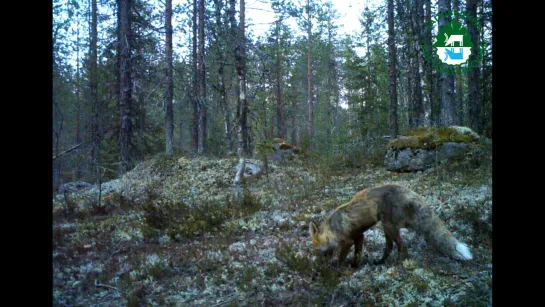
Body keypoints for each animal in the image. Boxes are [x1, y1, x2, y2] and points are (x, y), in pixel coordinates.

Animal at [310, 184, 472, 266]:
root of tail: (408, 190)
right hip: (386, 227)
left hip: (389, 226)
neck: (333, 228)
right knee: (389, 247)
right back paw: (380, 262)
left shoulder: (348, 241)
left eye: (319, 250)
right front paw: (354, 267)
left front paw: (337, 270)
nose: (321, 265)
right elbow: (357, 255)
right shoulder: (359, 236)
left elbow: (342, 258)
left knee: (401, 247)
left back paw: (400, 263)